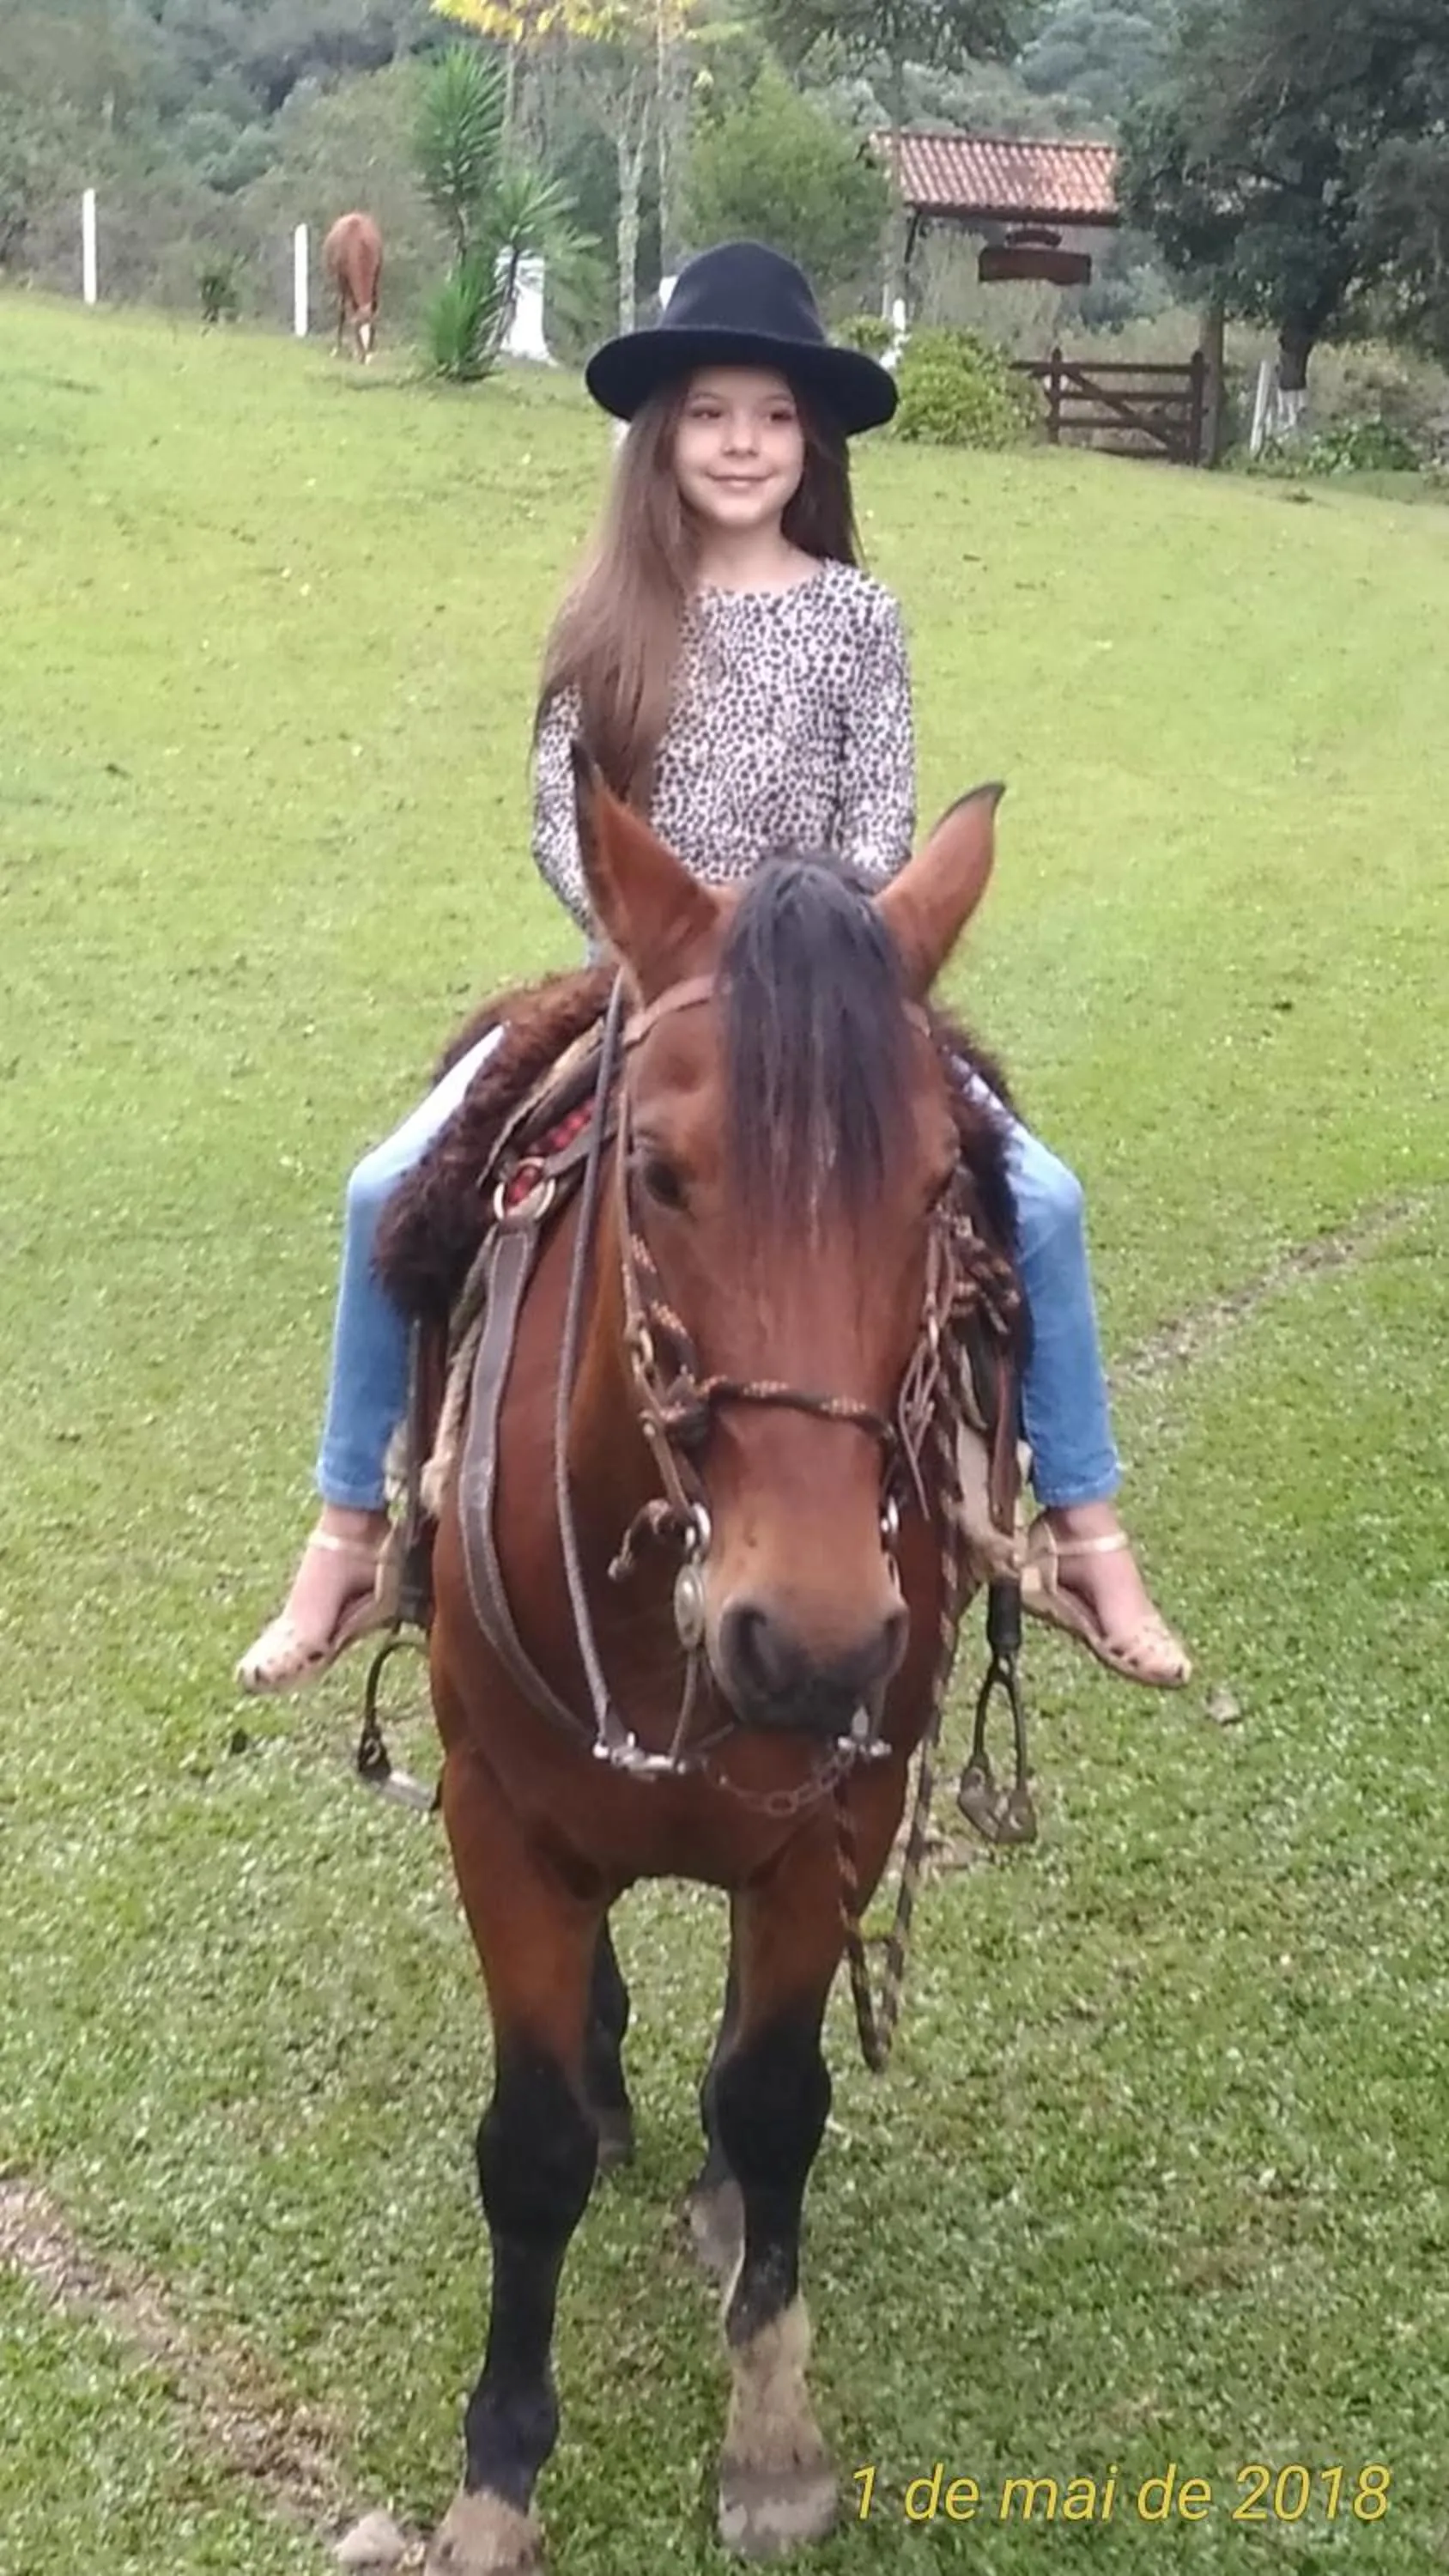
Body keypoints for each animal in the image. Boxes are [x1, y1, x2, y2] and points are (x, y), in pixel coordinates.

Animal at [322, 211, 382, 364]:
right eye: (357, 332)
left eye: (373, 330)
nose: (365, 358)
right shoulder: (343, 279)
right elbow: (345, 310)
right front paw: (349, 350)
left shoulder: (377, 276)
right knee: (343, 308)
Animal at [404, 755, 1021, 2575]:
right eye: (662, 1174)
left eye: (940, 1188)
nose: (805, 1638)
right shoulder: (495, 1815)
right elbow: (529, 2146)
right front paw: (498, 2469)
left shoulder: (838, 1820)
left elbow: (774, 2097)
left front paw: (768, 2427)